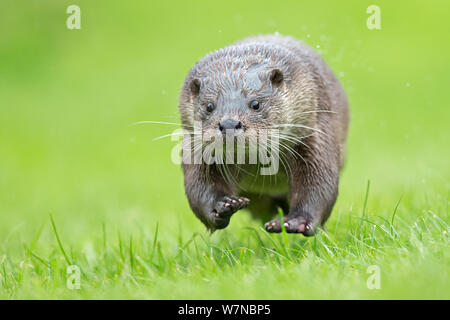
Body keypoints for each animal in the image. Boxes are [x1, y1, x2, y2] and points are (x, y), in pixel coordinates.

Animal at [178, 34, 350, 235]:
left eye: (255, 104)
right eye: (209, 106)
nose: (229, 124)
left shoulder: (313, 131)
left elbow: (319, 183)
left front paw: (295, 221)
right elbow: (199, 187)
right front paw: (224, 204)